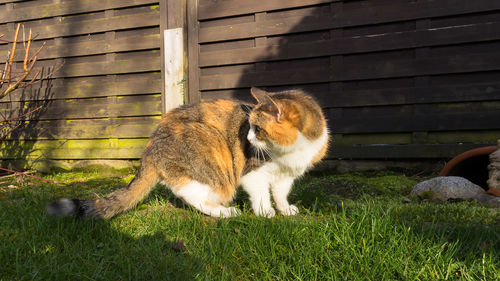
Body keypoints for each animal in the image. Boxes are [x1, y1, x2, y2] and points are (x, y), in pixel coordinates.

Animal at [46, 86, 328, 218]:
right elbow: (261, 195)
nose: (247, 137)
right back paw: (225, 212)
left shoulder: (286, 176)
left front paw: (285, 209)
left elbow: (280, 193)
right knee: (192, 195)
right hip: (210, 158)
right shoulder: (253, 173)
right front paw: (266, 212)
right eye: (249, 127)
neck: (290, 153)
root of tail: (150, 147)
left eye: (256, 129)